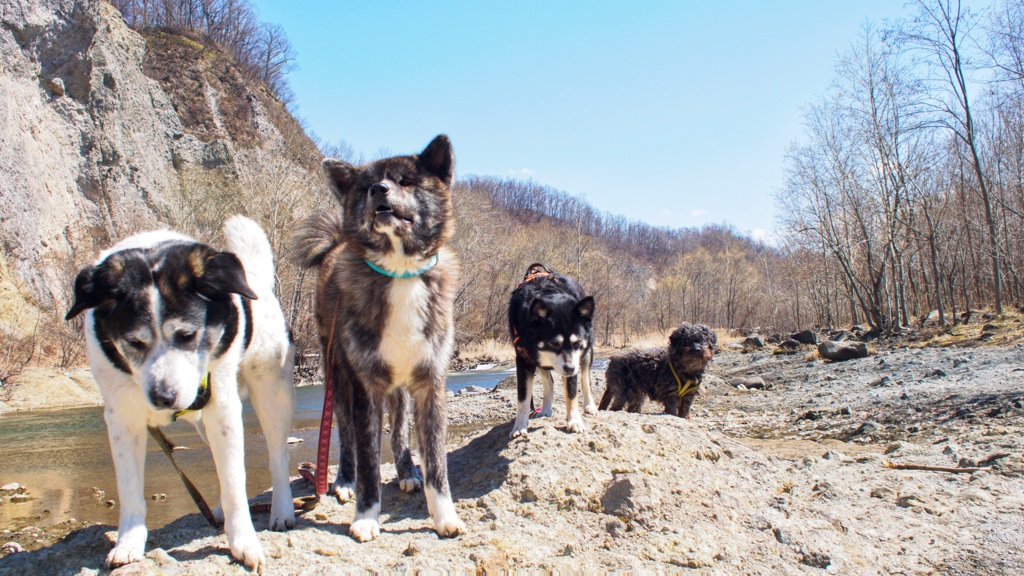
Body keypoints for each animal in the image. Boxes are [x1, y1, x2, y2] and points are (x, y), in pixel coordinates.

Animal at [66, 215, 294, 569]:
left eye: (188, 335)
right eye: (134, 342)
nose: (163, 398)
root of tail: (256, 278)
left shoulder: (223, 409)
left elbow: (235, 480)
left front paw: (244, 541)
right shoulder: (122, 417)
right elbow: (129, 487)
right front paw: (129, 542)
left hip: (271, 391)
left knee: (277, 455)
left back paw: (282, 510)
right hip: (203, 423)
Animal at [294, 133, 466, 537]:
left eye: (405, 181)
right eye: (365, 186)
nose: (378, 189)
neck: (400, 270)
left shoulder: (431, 384)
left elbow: (436, 459)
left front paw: (444, 515)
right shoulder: (365, 387)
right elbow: (369, 459)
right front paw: (366, 517)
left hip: (400, 389)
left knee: (400, 432)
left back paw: (407, 471)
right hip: (337, 380)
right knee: (344, 437)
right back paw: (343, 479)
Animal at [507, 264, 598, 434]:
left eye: (577, 343)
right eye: (554, 344)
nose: (570, 368)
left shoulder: (575, 360)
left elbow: (571, 393)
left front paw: (574, 421)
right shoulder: (523, 360)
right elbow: (523, 398)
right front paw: (520, 426)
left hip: (586, 355)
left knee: (585, 380)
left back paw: (590, 406)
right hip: (539, 360)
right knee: (549, 382)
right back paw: (546, 409)